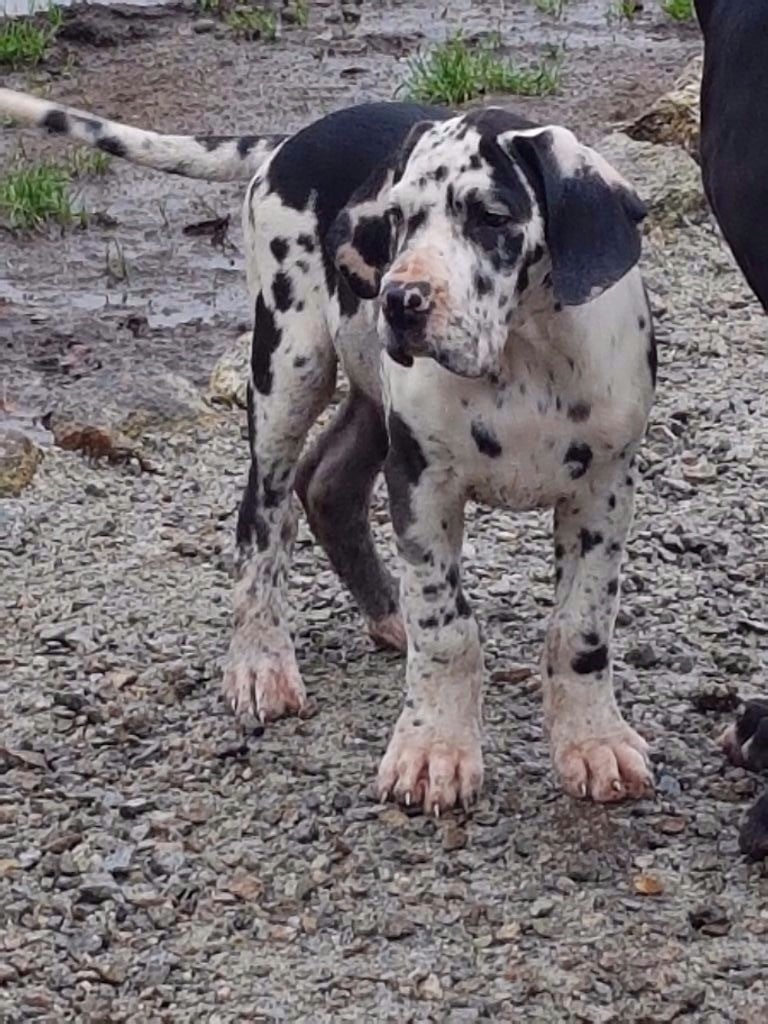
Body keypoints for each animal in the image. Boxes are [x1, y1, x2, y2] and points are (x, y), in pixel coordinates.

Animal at [1, 88, 656, 813]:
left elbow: (581, 628)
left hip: (368, 391)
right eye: (397, 219)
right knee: (264, 516)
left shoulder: (604, 493)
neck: (523, 358)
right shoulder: (422, 483)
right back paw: (261, 660)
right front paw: (435, 749)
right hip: (290, 367)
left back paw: (385, 613)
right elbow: (447, 626)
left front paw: (592, 741)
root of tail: (292, 140)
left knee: (329, 484)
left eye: (491, 216)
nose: (401, 300)